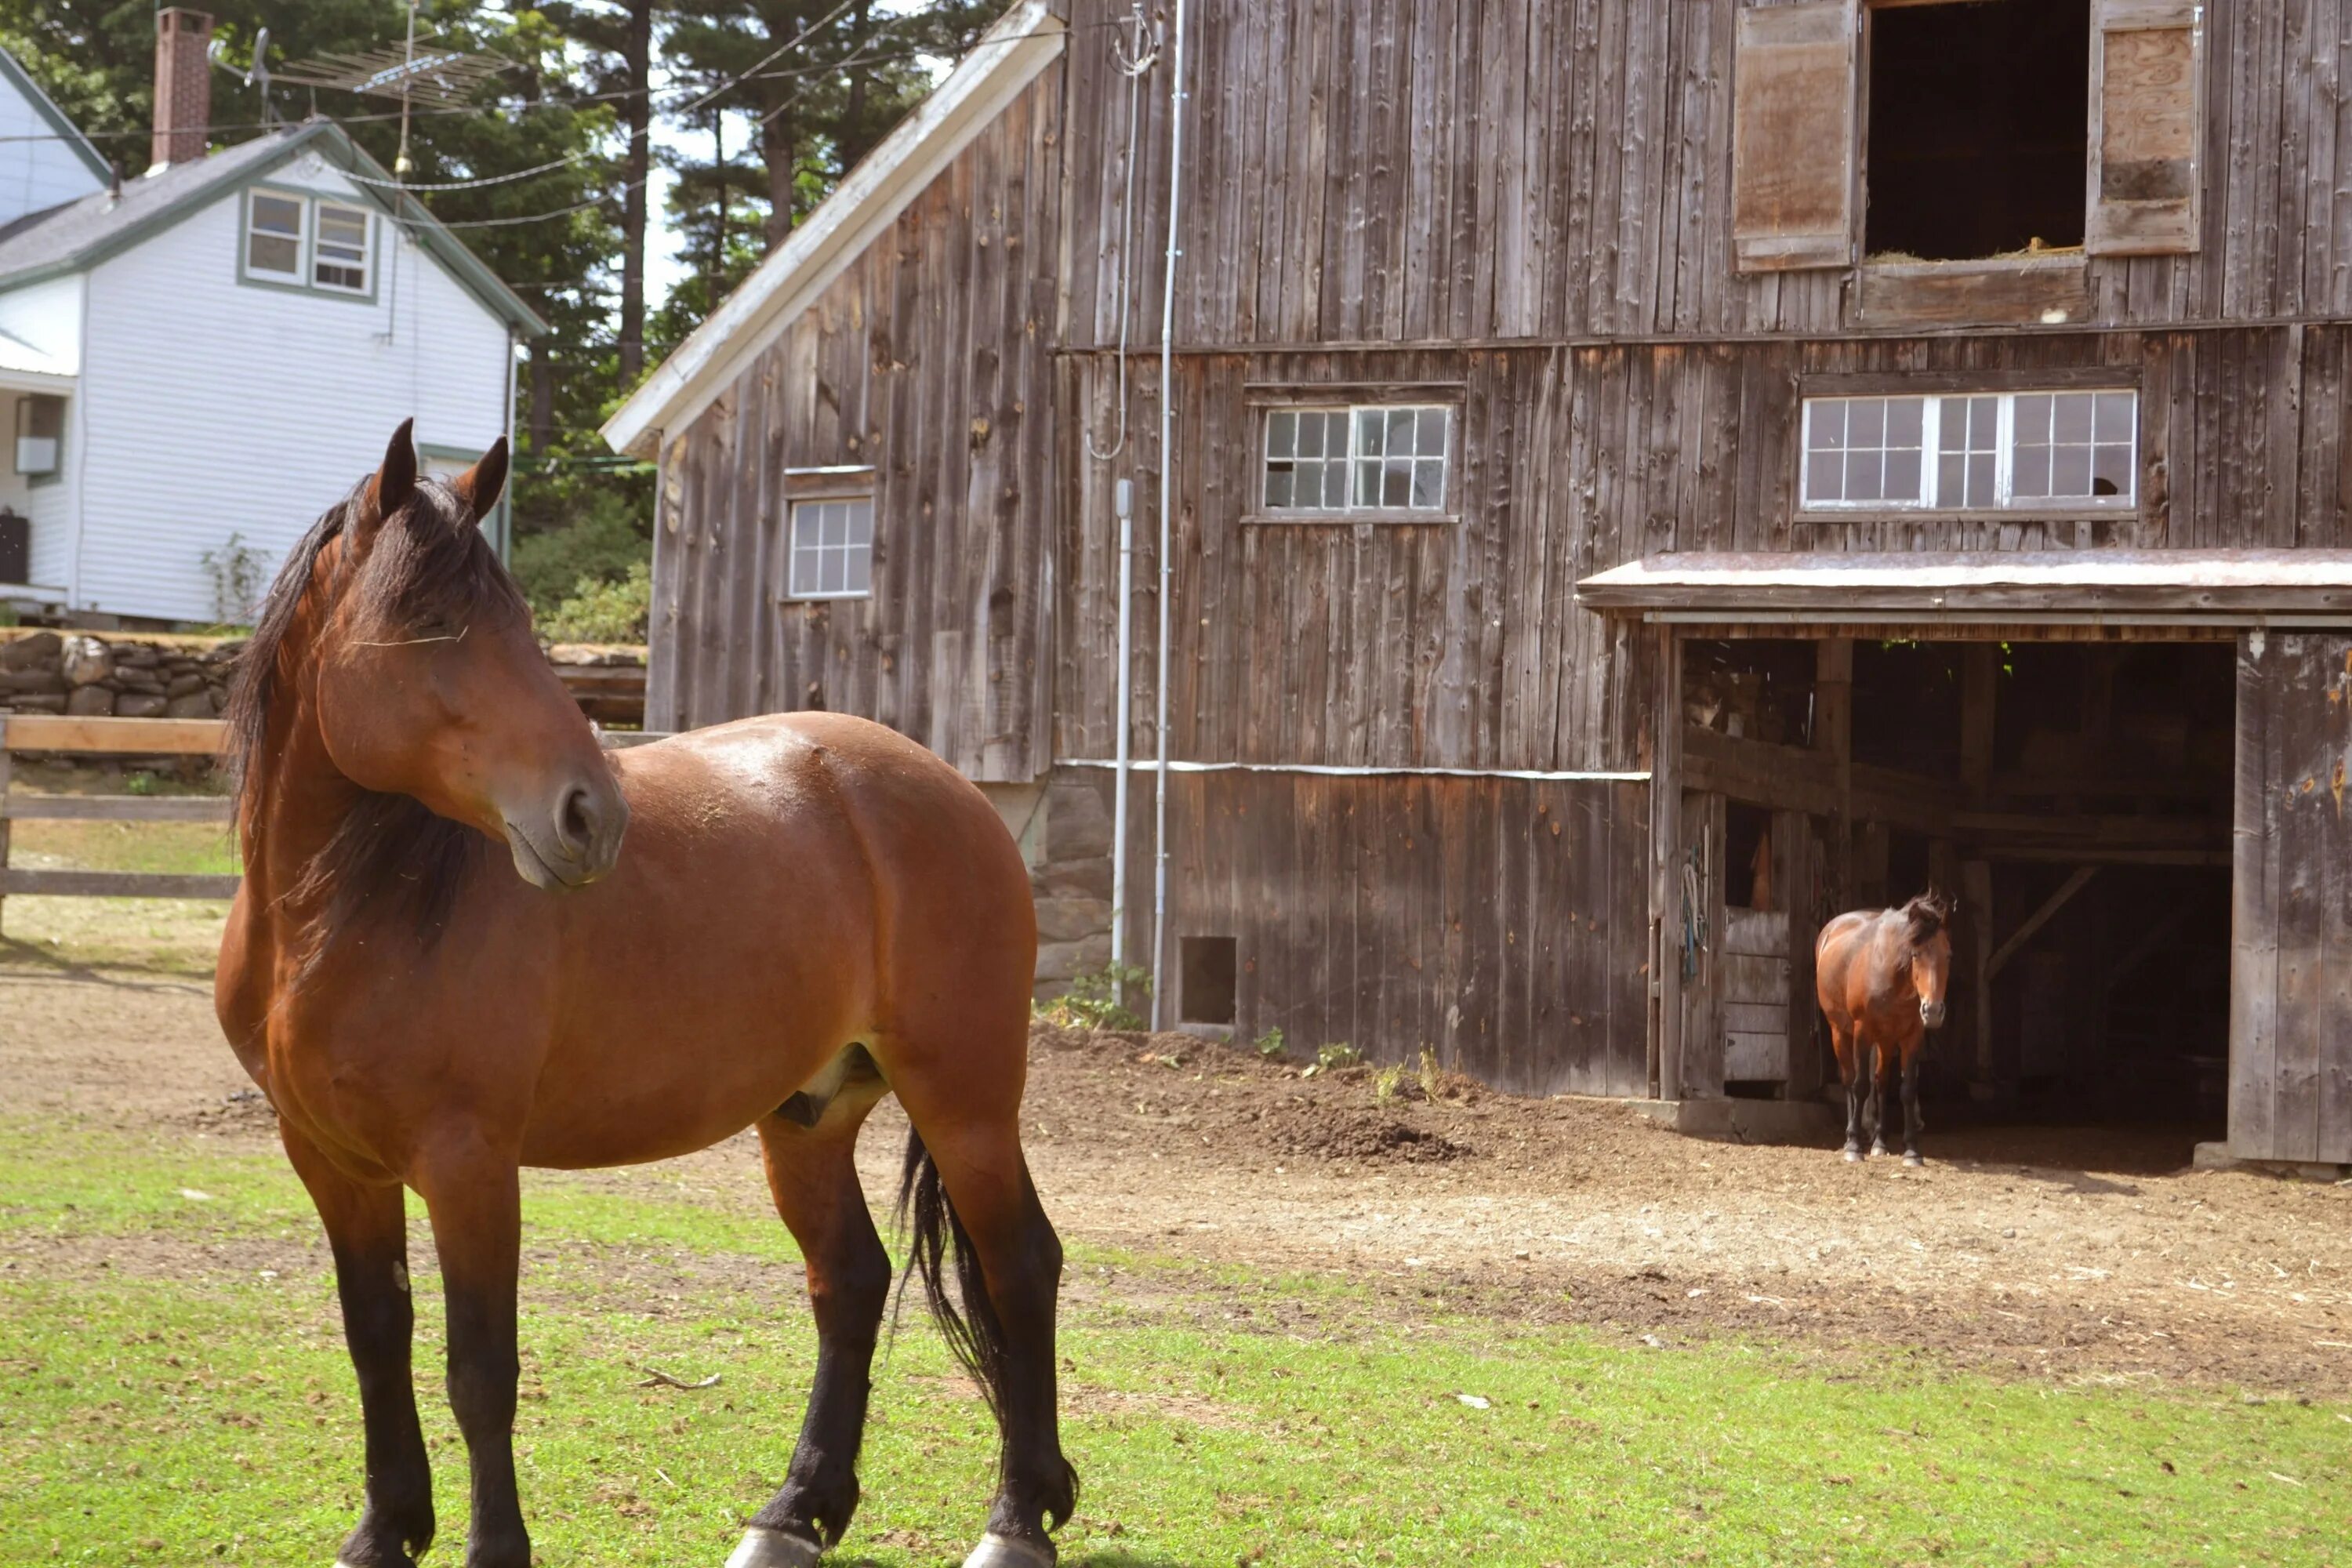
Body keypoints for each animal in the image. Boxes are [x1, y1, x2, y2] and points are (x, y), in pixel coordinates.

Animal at [212, 420, 1077, 1568]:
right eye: (428, 624)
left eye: (522, 624)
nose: (590, 815)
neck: (336, 914)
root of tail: (949, 792)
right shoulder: (330, 1160)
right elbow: (376, 1340)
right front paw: (385, 1530)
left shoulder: (467, 1162)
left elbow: (479, 1369)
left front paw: (492, 1548)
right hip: (807, 1116)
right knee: (849, 1282)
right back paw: (791, 1514)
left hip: (966, 1101)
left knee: (1020, 1266)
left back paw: (1016, 1520)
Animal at [1806, 893, 1957, 1166]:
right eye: (1915, 954)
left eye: (1948, 955)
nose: (1932, 1011)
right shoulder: (1863, 1032)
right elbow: (1860, 1086)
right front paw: (1854, 1147)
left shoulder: (1912, 1037)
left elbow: (1907, 1090)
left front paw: (1912, 1151)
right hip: (1840, 1032)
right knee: (1849, 1080)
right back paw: (1850, 1137)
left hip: (1885, 1041)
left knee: (1882, 1083)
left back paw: (1880, 1142)